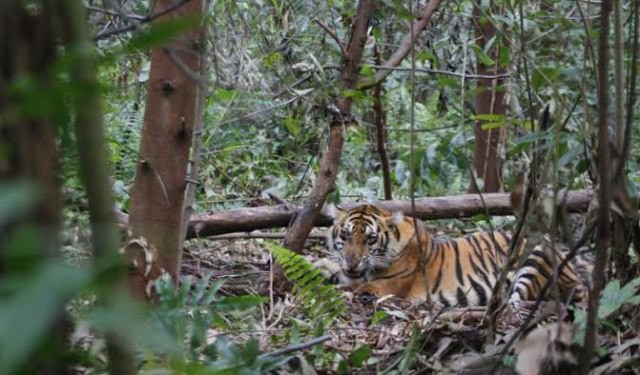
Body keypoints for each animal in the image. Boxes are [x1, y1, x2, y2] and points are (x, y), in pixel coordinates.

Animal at [316, 204, 592, 310]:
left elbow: (351, 288)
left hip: (536, 259)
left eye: (370, 239)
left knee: (519, 300)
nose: (352, 262)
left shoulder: (385, 286)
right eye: (346, 236)